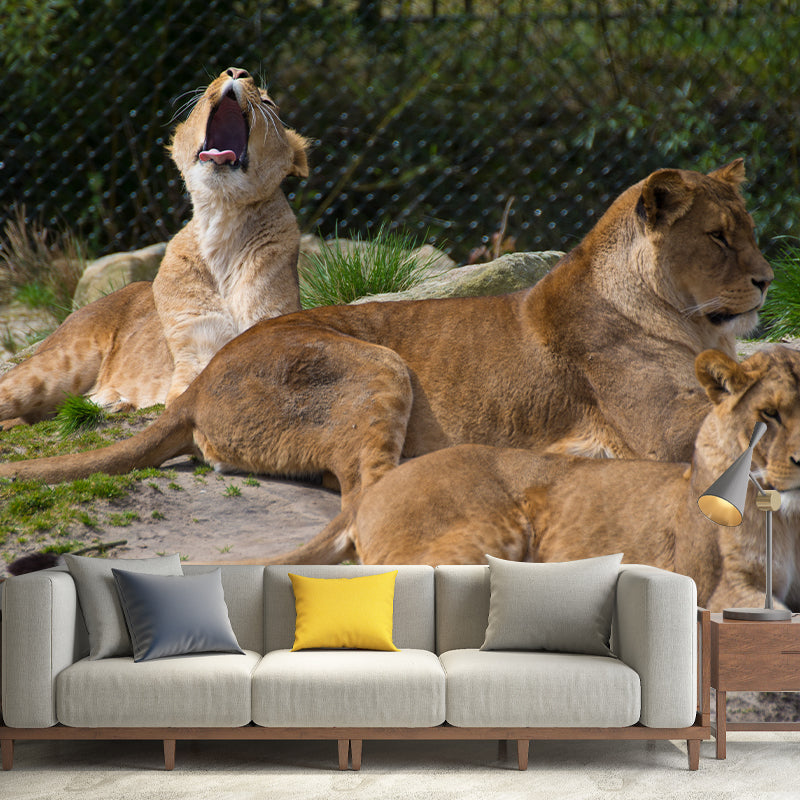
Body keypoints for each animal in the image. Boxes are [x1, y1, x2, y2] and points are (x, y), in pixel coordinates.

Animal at [0, 67, 309, 424]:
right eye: (205, 95)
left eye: (269, 103)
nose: (236, 71)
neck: (222, 221)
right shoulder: (193, 349)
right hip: (52, 368)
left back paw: (110, 402)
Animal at [0, 162, 773, 519]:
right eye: (718, 237)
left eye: (752, 232)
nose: (768, 281)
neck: (684, 317)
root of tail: (198, 381)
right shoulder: (666, 432)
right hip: (379, 364)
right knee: (364, 491)